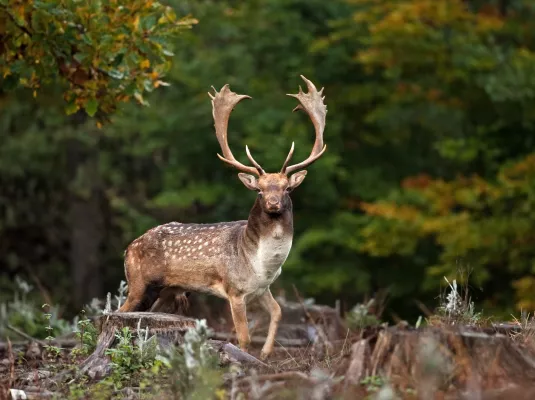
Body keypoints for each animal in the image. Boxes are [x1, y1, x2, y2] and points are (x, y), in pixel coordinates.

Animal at [119, 76, 326, 360]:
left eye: (287, 188)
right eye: (259, 190)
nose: (273, 203)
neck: (261, 264)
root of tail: (128, 247)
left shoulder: (262, 288)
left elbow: (278, 311)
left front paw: (266, 353)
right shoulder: (234, 290)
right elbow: (244, 336)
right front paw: (244, 358)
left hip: (167, 290)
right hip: (138, 281)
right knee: (116, 311)